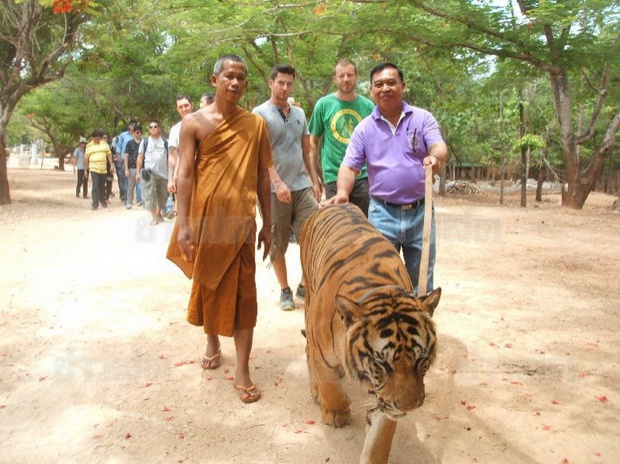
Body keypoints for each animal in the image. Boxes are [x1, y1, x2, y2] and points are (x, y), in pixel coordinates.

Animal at [300, 204, 440, 464]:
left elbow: (378, 439)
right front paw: (336, 411)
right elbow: (329, 384)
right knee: (307, 352)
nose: (408, 407)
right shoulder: (323, 354)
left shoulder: (384, 399)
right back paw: (316, 391)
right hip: (308, 298)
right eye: (382, 363)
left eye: (422, 359)